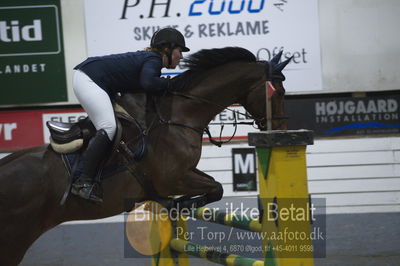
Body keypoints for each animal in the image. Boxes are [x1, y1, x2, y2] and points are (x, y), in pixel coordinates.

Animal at [0, 46, 290, 264]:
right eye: (278, 92)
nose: (281, 128)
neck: (177, 116)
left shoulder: (185, 173)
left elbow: (214, 187)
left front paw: (176, 206)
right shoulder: (173, 178)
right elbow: (216, 188)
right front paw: (179, 205)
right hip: (14, 240)